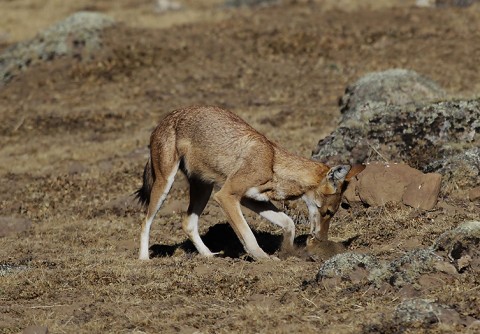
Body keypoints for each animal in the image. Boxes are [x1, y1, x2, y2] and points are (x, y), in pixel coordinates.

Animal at [136, 107, 364, 260]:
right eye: (328, 212)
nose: (322, 240)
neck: (273, 163)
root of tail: (165, 118)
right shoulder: (226, 196)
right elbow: (248, 235)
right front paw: (264, 259)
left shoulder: (252, 200)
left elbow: (288, 223)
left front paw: (286, 251)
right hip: (166, 185)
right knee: (145, 221)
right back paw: (144, 259)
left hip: (204, 189)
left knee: (187, 223)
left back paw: (209, 256)